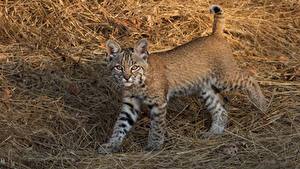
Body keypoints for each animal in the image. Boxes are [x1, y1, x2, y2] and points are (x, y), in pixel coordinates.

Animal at [98, 5, 268, 154]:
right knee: (220, 109)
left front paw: (154, 145)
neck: (136, 84)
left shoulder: (158, 102)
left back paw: (262, 105)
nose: (126, 77)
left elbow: (157, 126)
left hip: (224, 77)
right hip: (205, 88)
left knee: (249, 77)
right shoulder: (130, 103)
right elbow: (120, 125)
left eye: (134, 67)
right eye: (119, 67)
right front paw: (111, 145)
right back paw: (213, 133)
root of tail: (215, 35)